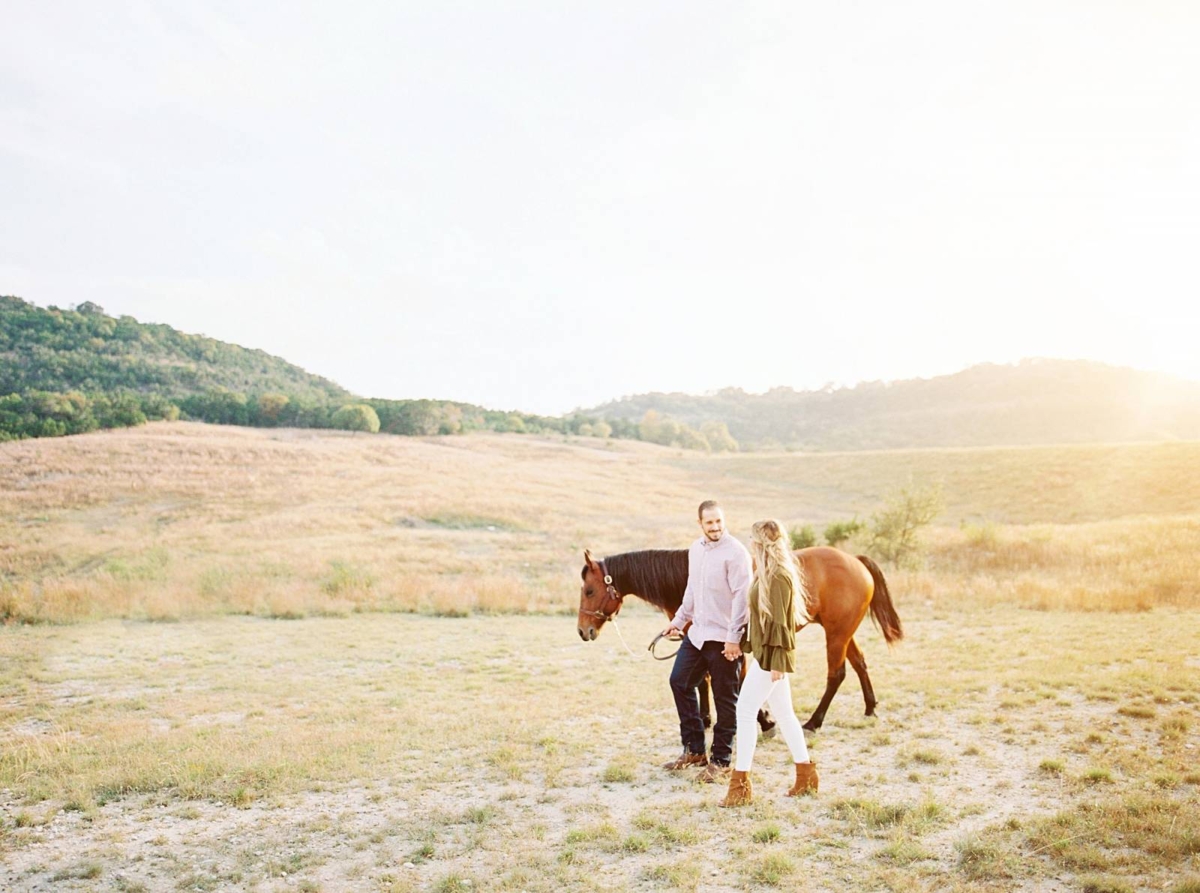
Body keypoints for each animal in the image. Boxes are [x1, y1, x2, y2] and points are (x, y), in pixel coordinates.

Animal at [578, 540, 902, 729]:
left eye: (589, 590)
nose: (583, 630)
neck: (692, 579)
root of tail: (855, 560)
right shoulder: (698, 641)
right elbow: (704, 680)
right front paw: (707, 719)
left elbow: (732, 681)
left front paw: (764, 719)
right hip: (842, 632)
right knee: (860, 664)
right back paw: (870, 708)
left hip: (836, 634)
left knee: (837, 674)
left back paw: (814, 721)